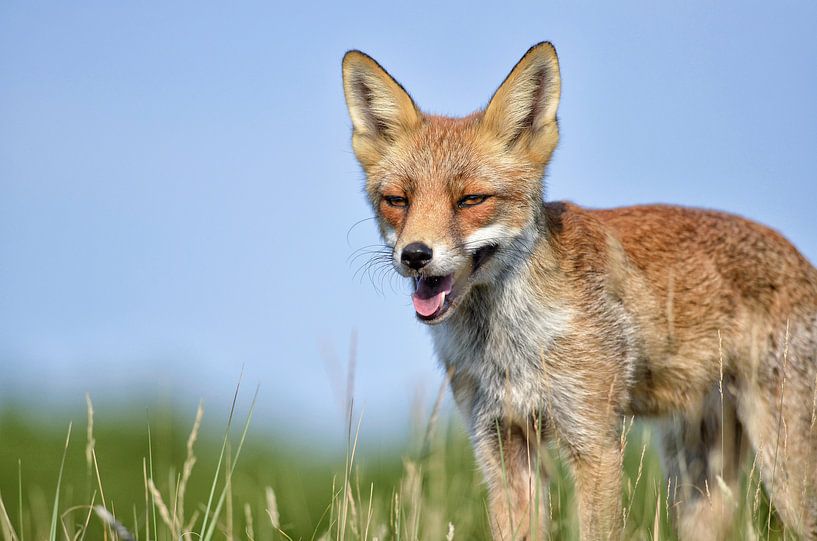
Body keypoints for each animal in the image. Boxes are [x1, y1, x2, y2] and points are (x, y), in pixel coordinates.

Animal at [340, 43, 816, 540]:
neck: (508, 344)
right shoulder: (502, 446)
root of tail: (799, 257)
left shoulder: (594, 440)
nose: (415, 254)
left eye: (471, 200)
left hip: (785, 471)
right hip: (695, 479)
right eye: (397, 201)